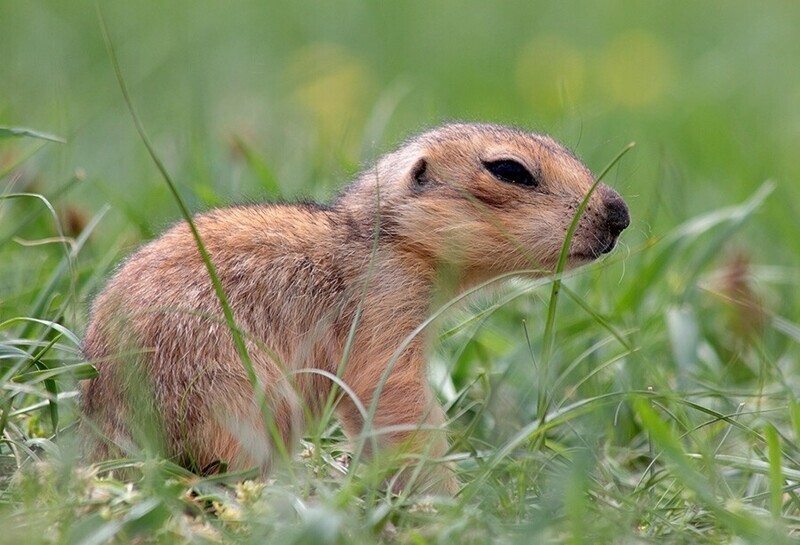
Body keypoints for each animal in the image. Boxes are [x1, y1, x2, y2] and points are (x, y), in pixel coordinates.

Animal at [81, 122, 632, 492]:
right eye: (509, 171)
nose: (621, 213)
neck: (387, 239)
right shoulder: (384, 301)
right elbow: (390, 390)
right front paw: (444, 500)